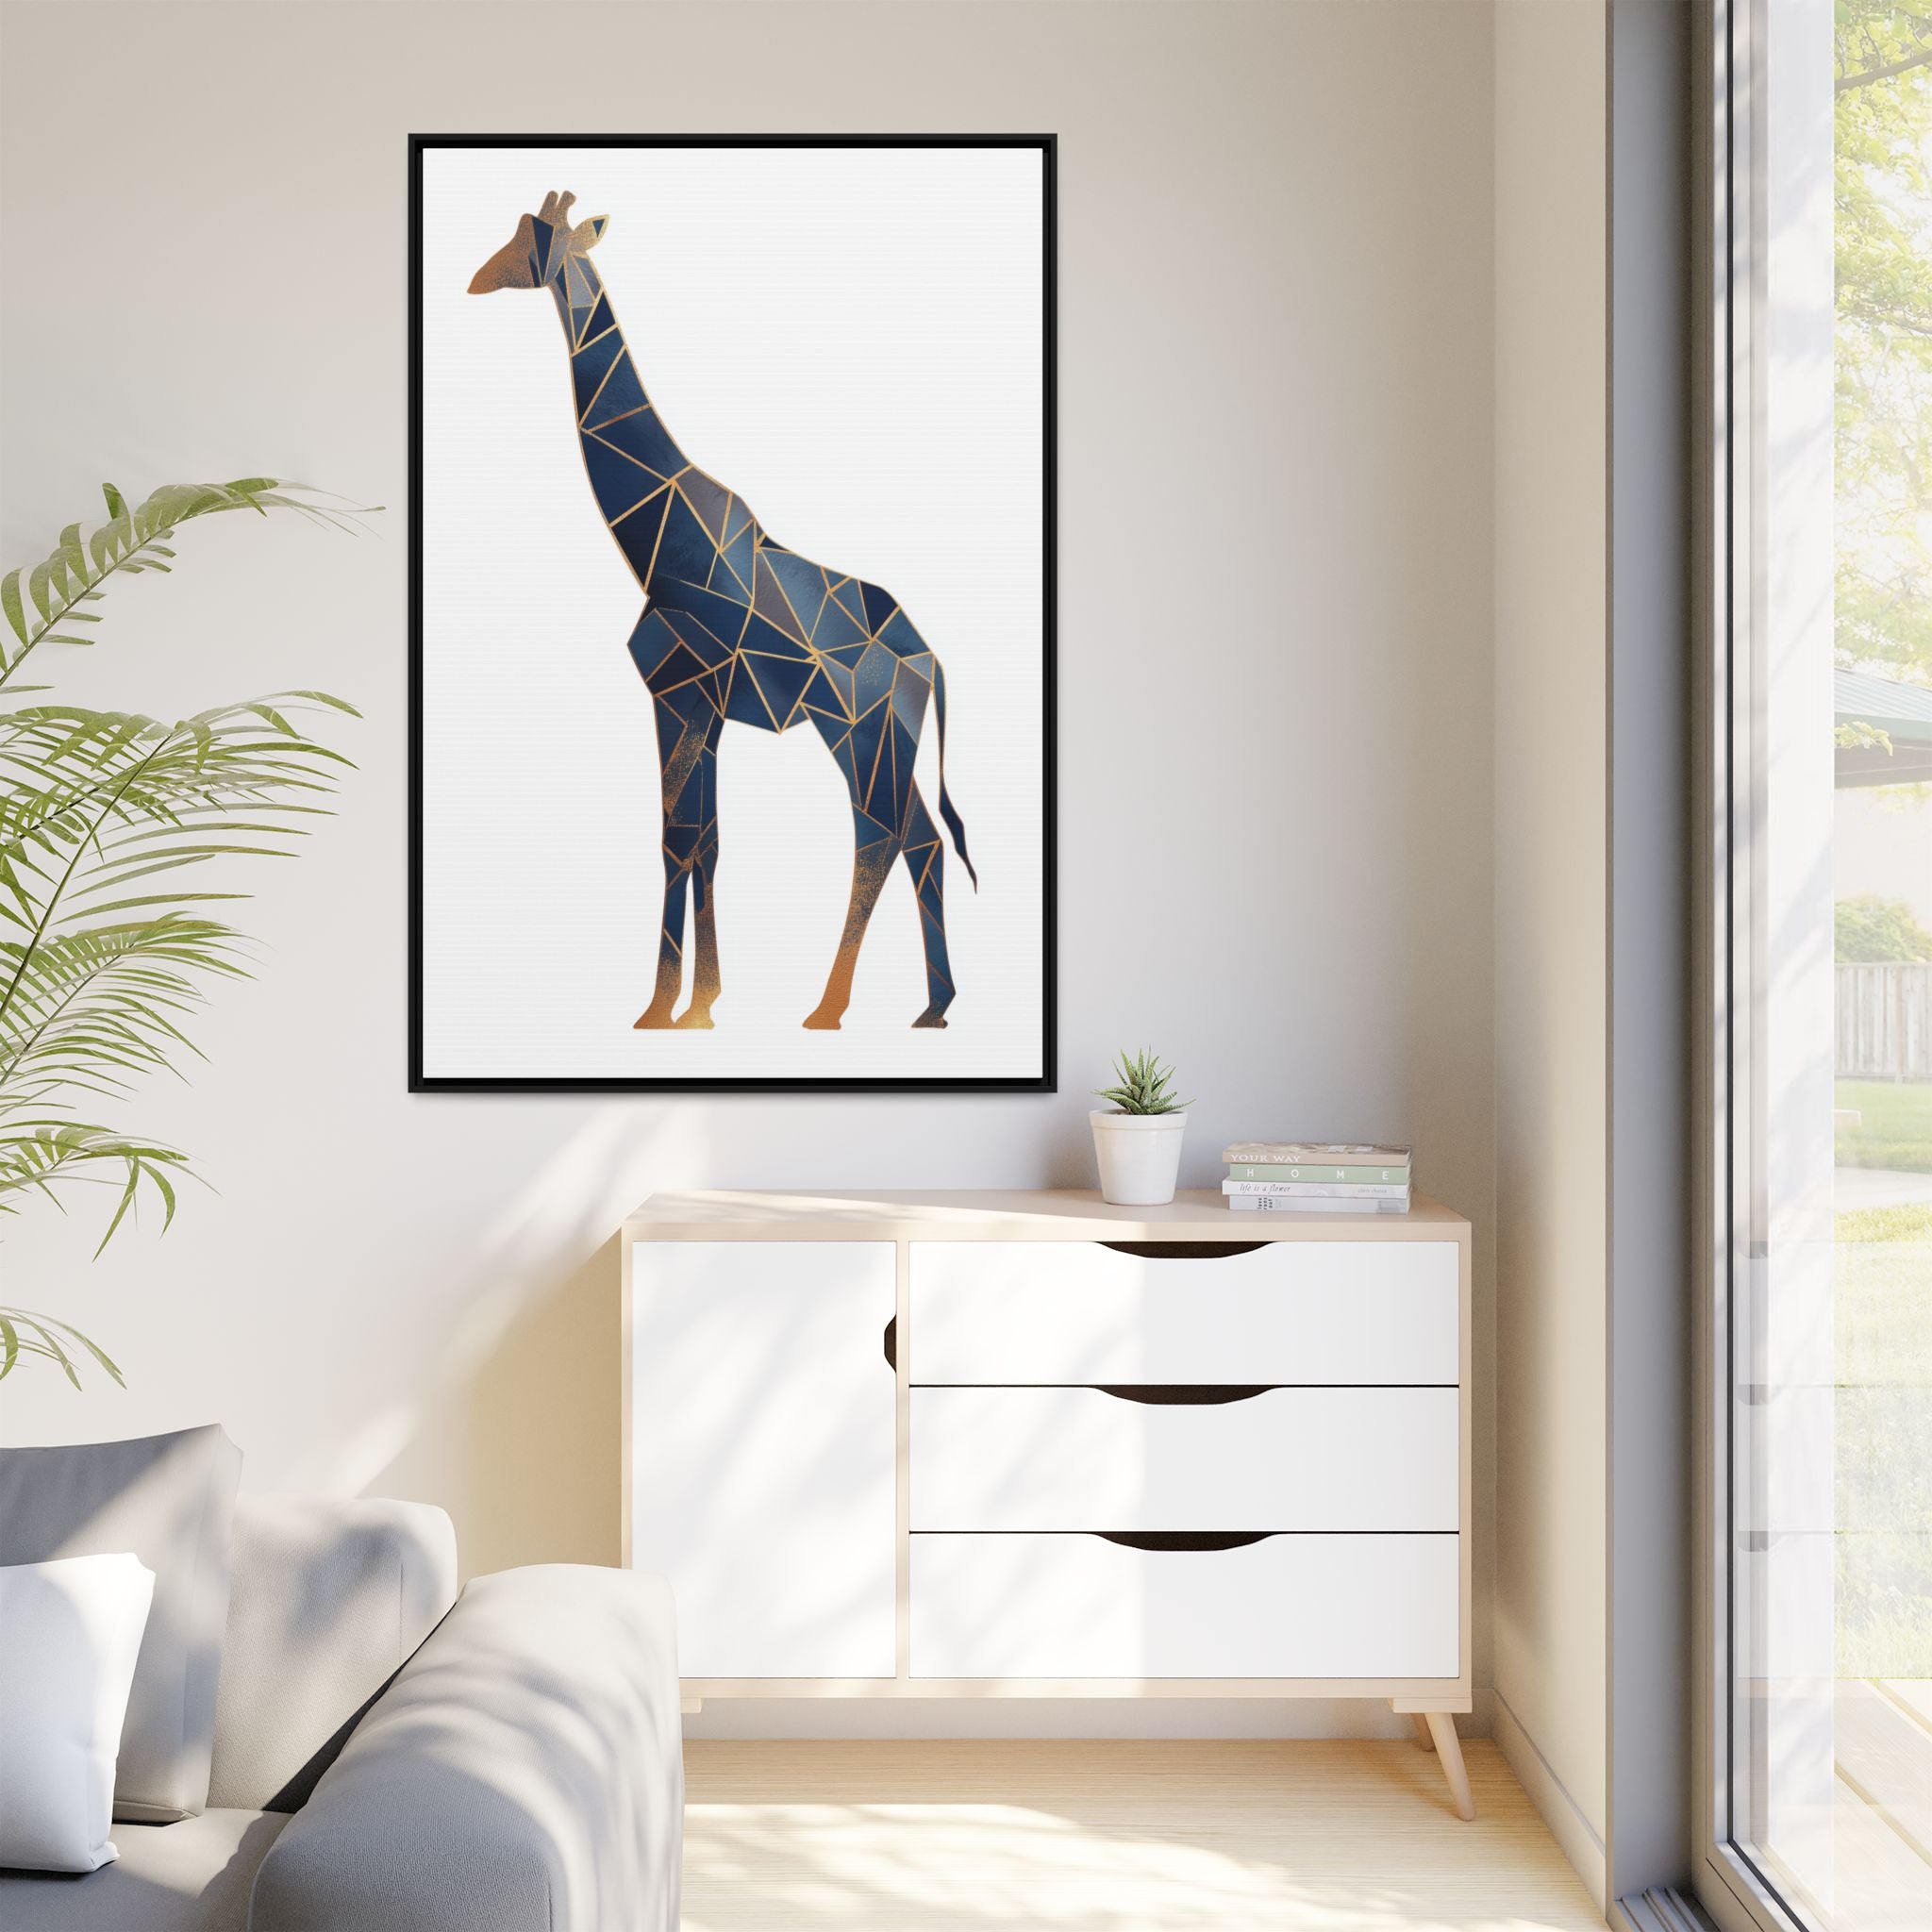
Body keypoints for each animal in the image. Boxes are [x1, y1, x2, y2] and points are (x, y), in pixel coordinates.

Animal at [469, 190, 974, 1032]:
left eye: (533, 241)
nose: (478, 279)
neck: (656, 542)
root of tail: (929, 660)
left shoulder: (679, 693)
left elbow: (680, 841)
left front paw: (670, 1007)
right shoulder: (698, 706)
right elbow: (701, 841)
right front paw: (692, 1004)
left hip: (858, 730)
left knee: (879, 837)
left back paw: (829, 1009)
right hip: (884, 737)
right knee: (922, 841)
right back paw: (933, 1007)